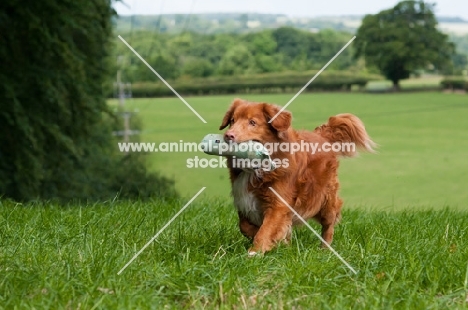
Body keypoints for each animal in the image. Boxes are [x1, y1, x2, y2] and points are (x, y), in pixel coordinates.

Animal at [219, 98, 376, 256]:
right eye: (232, 120)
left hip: (324, 201)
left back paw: (325, 249)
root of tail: (322, 135)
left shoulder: (278, 204)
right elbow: (244, 226)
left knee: (329, 223)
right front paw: (267, 240)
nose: (228, 136)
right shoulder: (244, 199)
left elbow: (266, 230)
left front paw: (255, 252)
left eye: (252, 122)